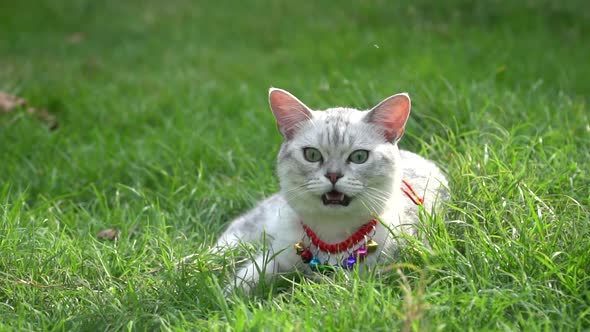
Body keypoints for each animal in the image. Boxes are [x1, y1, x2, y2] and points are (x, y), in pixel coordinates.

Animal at [215, 87, 450, 290]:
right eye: (311, 155)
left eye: (359, 157)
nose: (333, 175)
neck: (332, 235)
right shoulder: (277, 256)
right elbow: (246, 279)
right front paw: (225, 299)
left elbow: (333, 287)